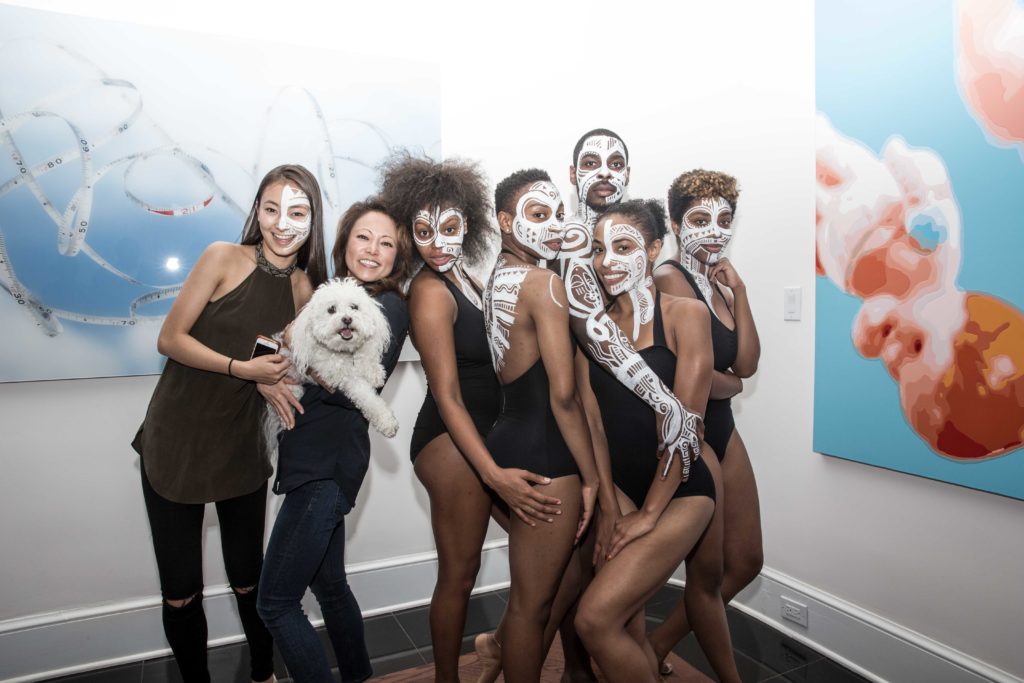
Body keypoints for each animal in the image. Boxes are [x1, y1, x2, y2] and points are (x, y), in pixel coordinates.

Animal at [264, 274, 399, 456]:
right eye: (331, 310)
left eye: (354, 307)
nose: (347, 319)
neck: (342, 350)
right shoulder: (341, 376)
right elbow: (366, 396)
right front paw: (386, 421)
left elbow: (366, 354)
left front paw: (374, 372)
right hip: (289, 385)